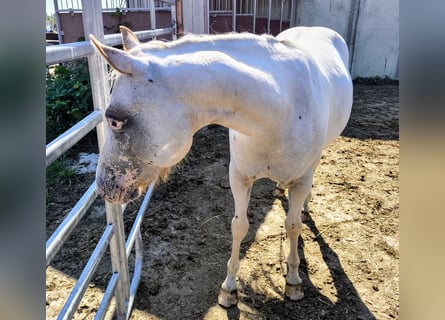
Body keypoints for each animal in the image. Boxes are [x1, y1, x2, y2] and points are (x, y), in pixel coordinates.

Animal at [90, 26, 352, 308]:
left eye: (114, 120)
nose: (103, 189)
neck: (281, 110)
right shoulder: (239, 177)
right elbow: (239, 227)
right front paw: (229, 288)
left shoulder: (301, 180)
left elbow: (292, 227)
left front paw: (293, 281)